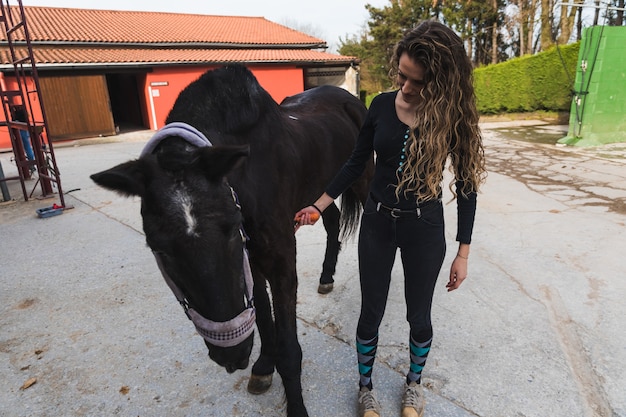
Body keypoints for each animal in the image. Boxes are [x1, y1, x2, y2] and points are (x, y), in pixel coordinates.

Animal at [91, 63, 372, 414]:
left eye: (230, 228)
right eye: (158, 248)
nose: (232, 356)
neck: (248, 174)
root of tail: (350, 99)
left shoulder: (278, 260)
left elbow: (288, 346)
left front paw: (295, 405)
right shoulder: (252, 260)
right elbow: (262, 316)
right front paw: (264, 366)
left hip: (361, 180)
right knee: (332, 222)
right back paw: (326, 277)